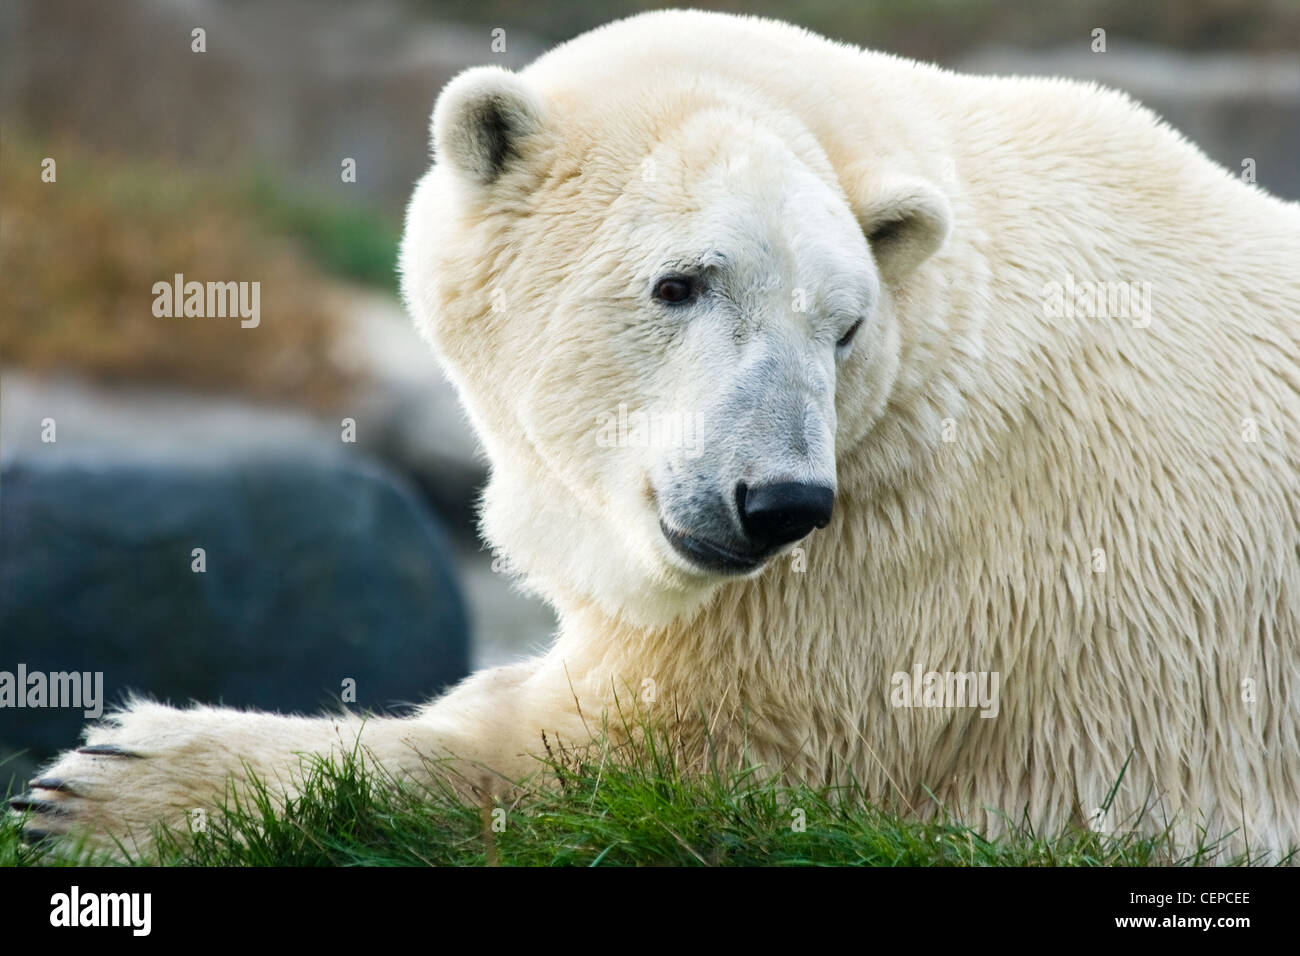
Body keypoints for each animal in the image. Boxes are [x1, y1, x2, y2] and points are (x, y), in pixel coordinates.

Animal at [17, 9, 1300, 858]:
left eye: (842, 326)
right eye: (680, 283)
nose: (776, 500)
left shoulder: (903, 584)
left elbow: (607, 759)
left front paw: (106, 784)